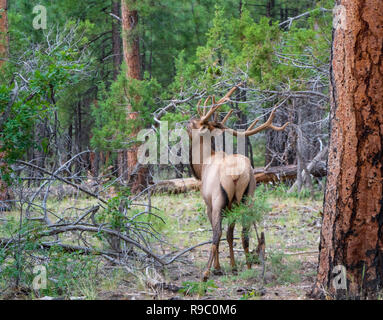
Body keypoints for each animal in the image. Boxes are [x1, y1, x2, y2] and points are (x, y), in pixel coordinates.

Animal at [188, 84, 290, 282]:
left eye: (193, 123)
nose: (186, 122)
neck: (202, 164)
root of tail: (236, 173)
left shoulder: (208, 203)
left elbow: (217, 233)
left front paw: (218, 268)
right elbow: (230, 234)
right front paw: (233, 267)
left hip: (220, 199)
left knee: (217, 234)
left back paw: (206, 273)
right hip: (246, 197)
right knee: (244, 232)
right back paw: (249, 266)